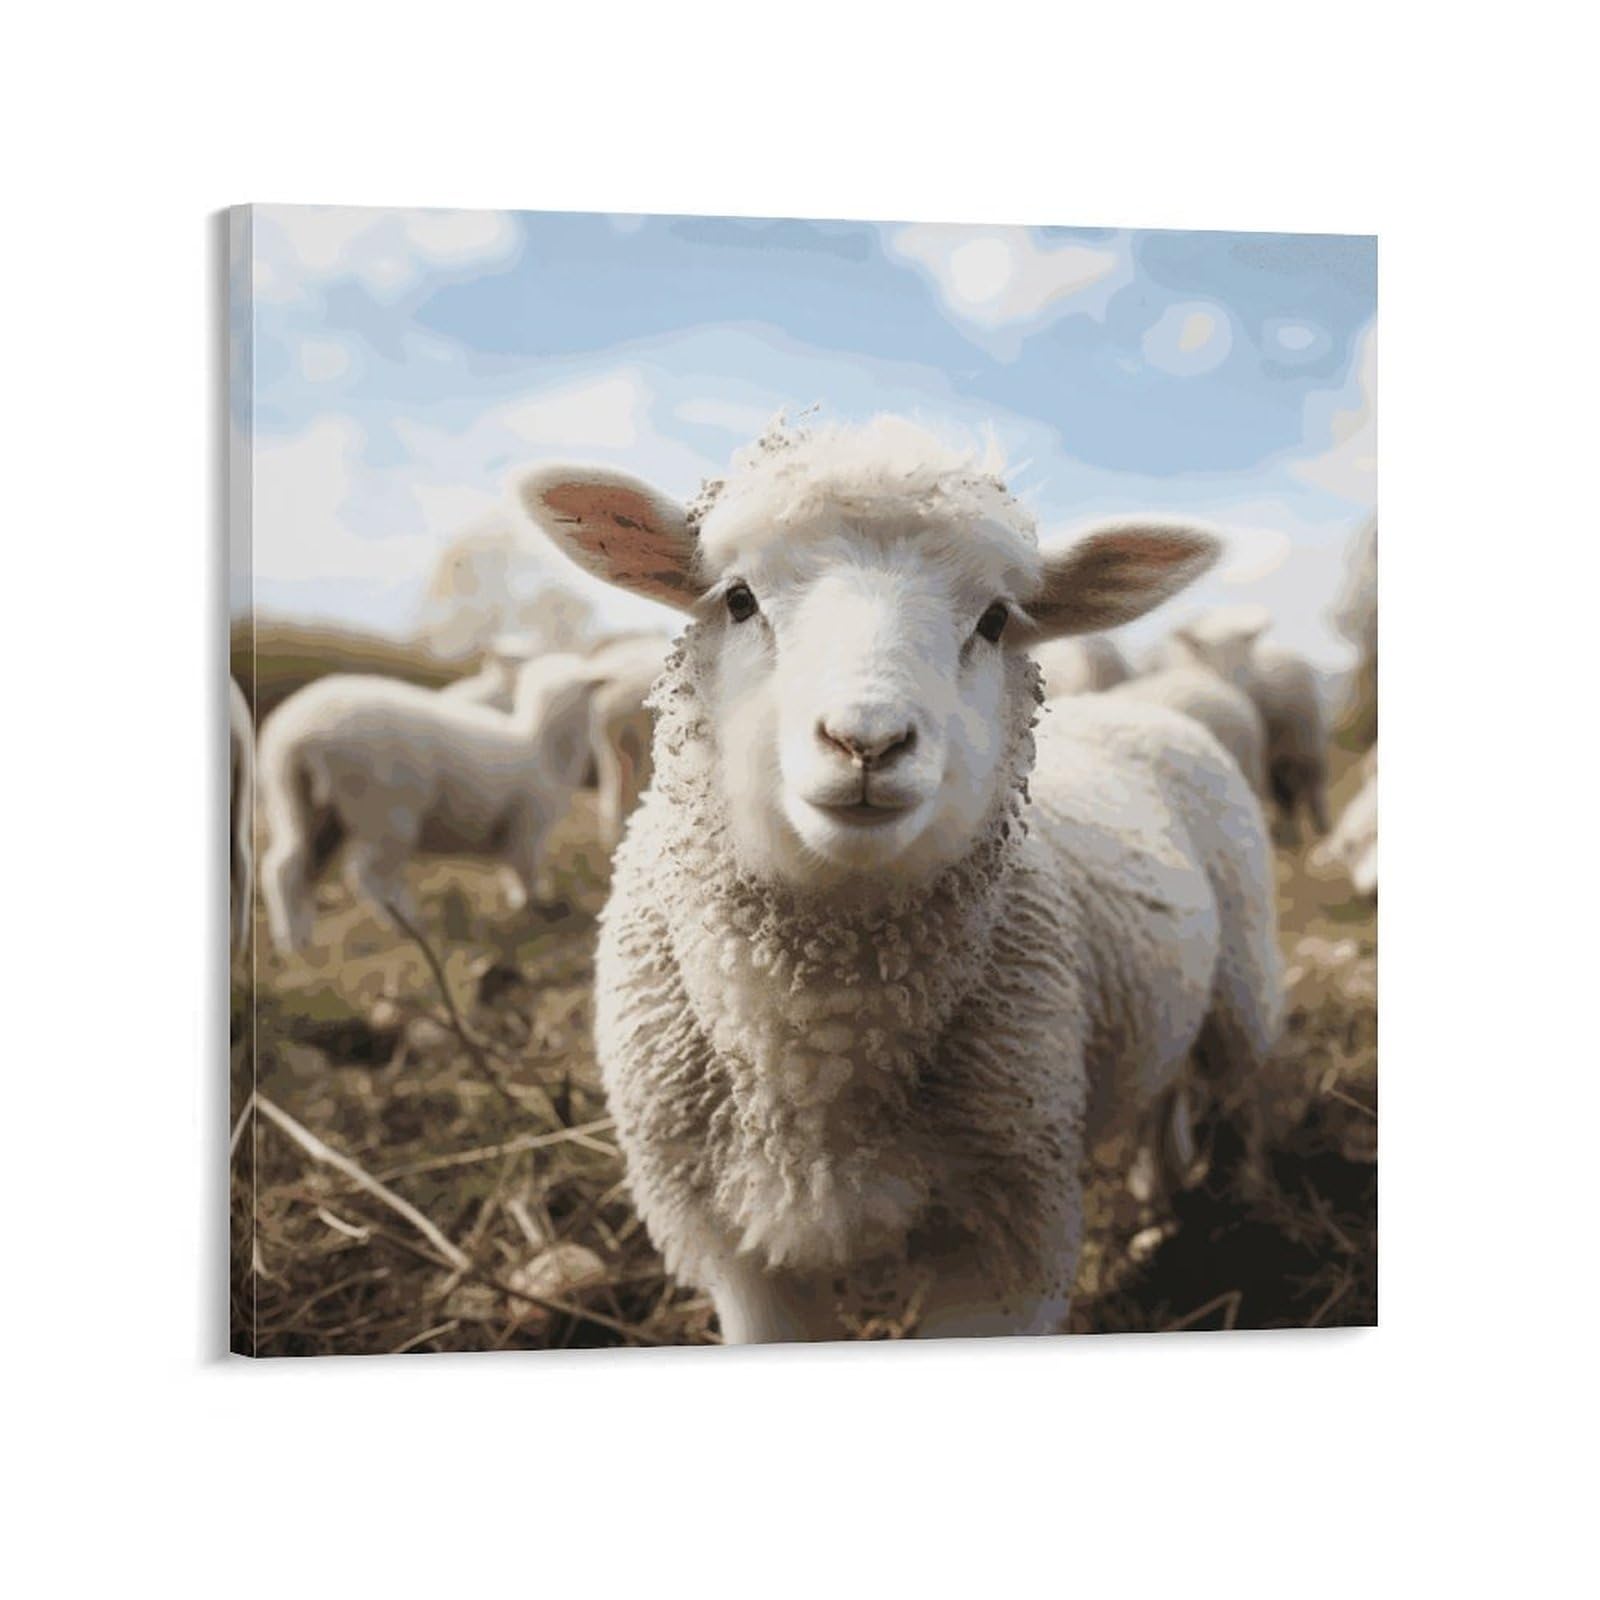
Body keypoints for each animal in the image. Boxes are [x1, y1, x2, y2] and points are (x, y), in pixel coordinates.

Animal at [256, 653, 600, 953]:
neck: (542, 744)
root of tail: (298, 737)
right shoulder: (529, 823)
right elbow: (525, 867)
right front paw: (537, 906)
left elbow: (512, 866)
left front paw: (523, 902)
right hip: (385, 811)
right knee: (367, 875)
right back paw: (410, 925)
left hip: (302, 805)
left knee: (284, 866)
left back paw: (294, 941)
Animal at [519, 416, 1282, 1343]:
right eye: (738, 599)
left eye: (994, 619)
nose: (868, 742)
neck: (820, 1057)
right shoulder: (738, 1251)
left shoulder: (1012, 1231)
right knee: (1162, 1087)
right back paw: (1155, 1198)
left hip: (1244, 987)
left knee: (1241, 1096)